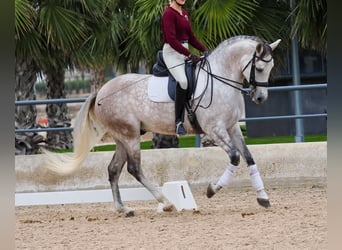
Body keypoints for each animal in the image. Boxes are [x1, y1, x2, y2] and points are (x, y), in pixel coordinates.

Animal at [42, 35, 280, 217]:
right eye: (259, 67)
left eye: (271, 67)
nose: (260, 98)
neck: (220, 79)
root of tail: (101, 91)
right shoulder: (215, 130)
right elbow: (234, 157)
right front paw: (212, 189)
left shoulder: (232, 128)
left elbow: (248, 158)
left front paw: (263, 197)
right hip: (130, 136)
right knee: (134, 168)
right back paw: (166, 202)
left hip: (121, 137)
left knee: (113, 169)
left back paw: (124, 209)